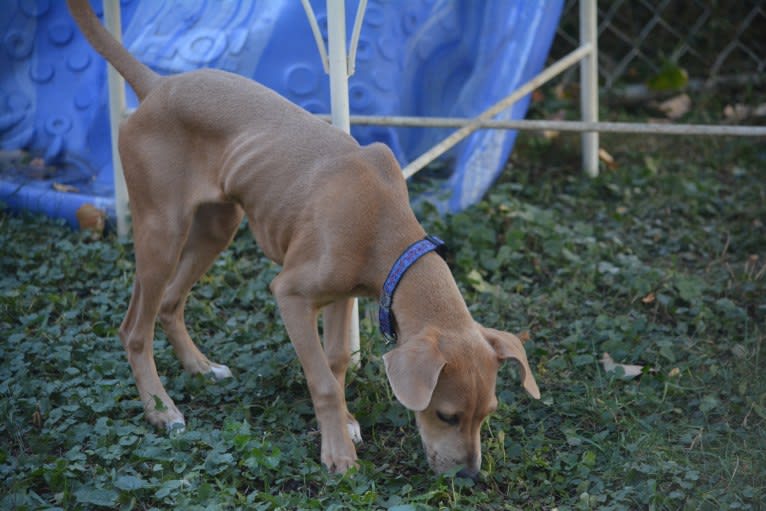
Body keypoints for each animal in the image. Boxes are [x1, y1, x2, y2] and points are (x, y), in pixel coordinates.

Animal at [69, 1, 544, 480]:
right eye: (447, 415)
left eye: (487, 414)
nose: (469, 477)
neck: (386, 231)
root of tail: (157, 85)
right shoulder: (291, 295)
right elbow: (321, 379)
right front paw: (338, 453)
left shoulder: (341, 296)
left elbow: (336, 363)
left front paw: (346, 424)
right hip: (162, 232)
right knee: (134, 329)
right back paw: (161, 410)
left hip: (216, 227)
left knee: (169, 303)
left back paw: (200, 367)